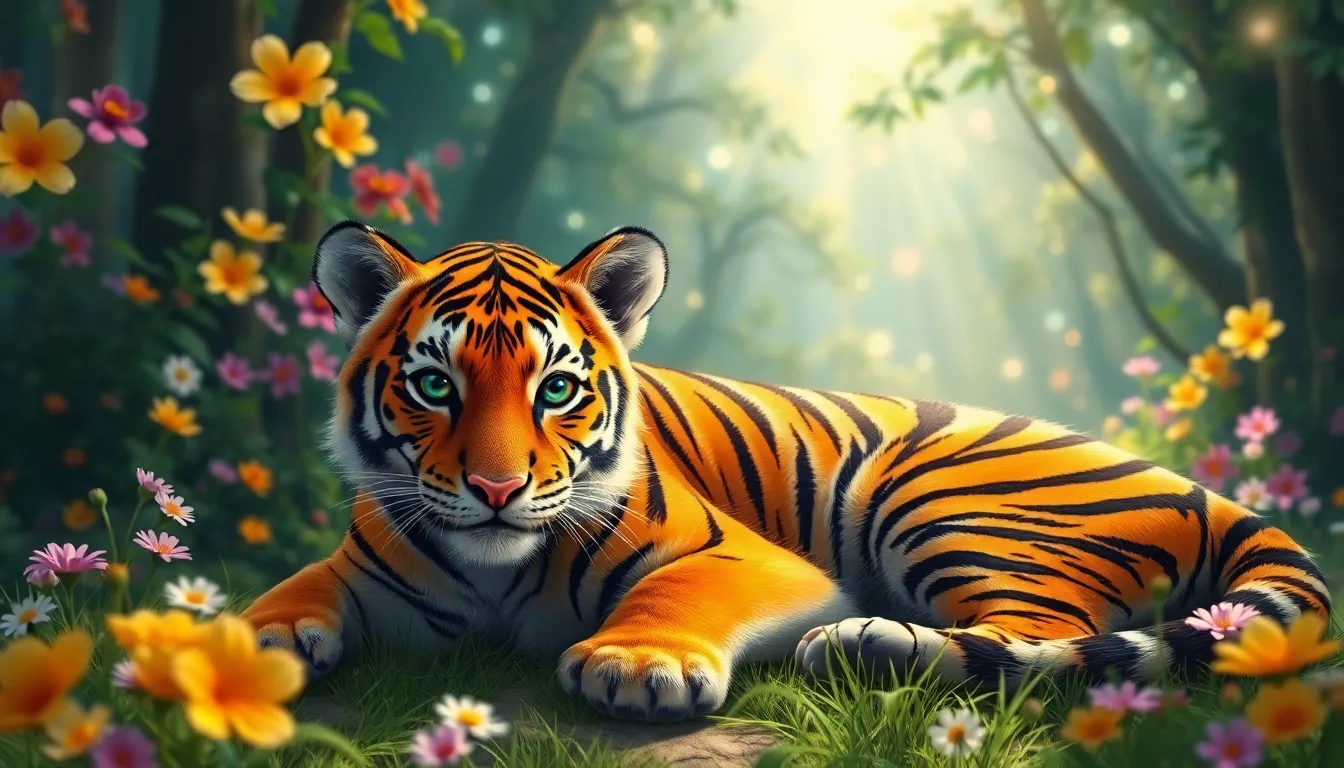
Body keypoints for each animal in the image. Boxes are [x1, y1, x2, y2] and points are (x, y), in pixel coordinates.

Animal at [243, 220, 1331, 722]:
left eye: (555, 390)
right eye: (435, 385)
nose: (498, 492)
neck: (494, 571)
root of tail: (1204, 486)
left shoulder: (750, 558)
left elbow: (674, 592)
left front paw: (636, 663)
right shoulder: (369, 568)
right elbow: (297, 586)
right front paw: (244, 644)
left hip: (942, 502)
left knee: (1034, 648)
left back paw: (868, 647)